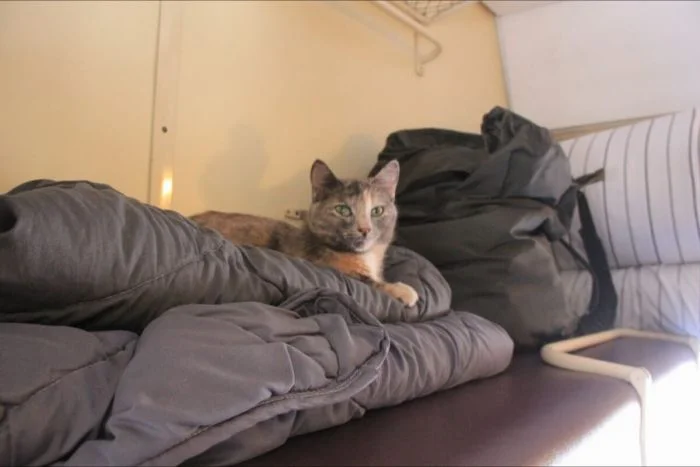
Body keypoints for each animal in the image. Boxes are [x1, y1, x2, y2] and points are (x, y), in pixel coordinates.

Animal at [190, 159, 419, 307]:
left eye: (377, 211)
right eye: (343, 209)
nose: (365, 229)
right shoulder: (328, 269)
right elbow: (364, 281)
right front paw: (404, 291)